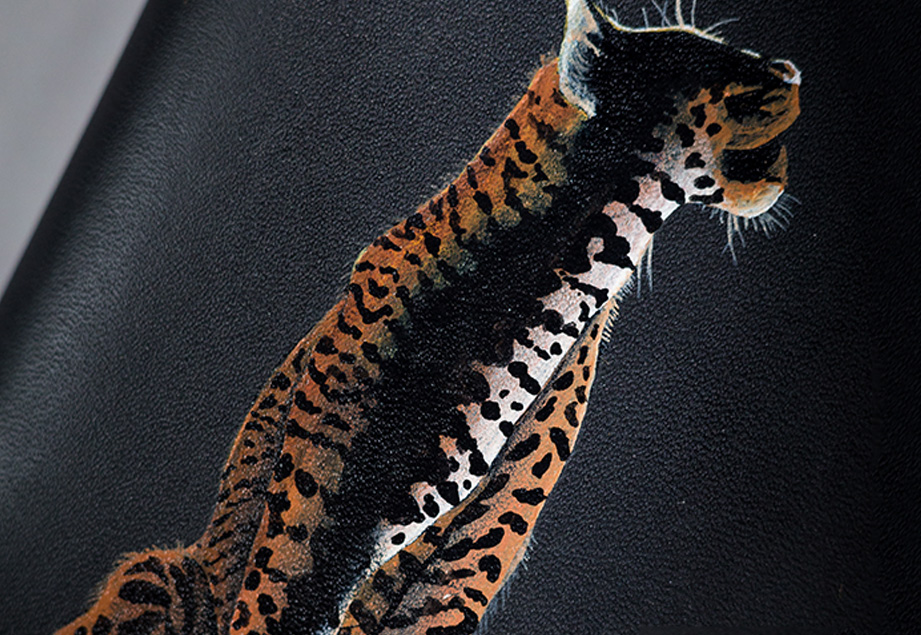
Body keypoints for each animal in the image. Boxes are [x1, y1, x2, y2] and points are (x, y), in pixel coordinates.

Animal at [56, 2, 800, 633]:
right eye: (727, 68)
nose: (792, 71)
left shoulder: (459, 554)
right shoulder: (311, 532)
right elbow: (273, 596)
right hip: (157, 576)